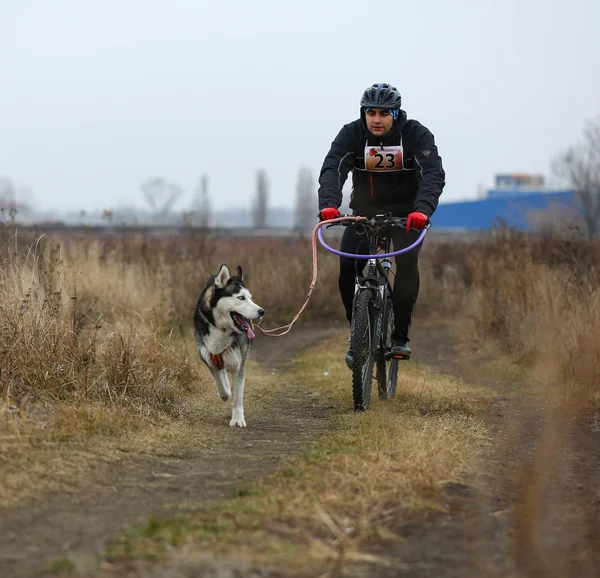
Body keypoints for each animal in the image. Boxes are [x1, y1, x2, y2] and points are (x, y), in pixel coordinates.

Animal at [195, 264, 264, 426]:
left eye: (251, 298)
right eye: (240, 297)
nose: (262, 311)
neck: (221, 328)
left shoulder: (239, 366)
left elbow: (237, 398)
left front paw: (238, 419)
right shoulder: (209, 362)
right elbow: (223, 391)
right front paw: (226, 389)